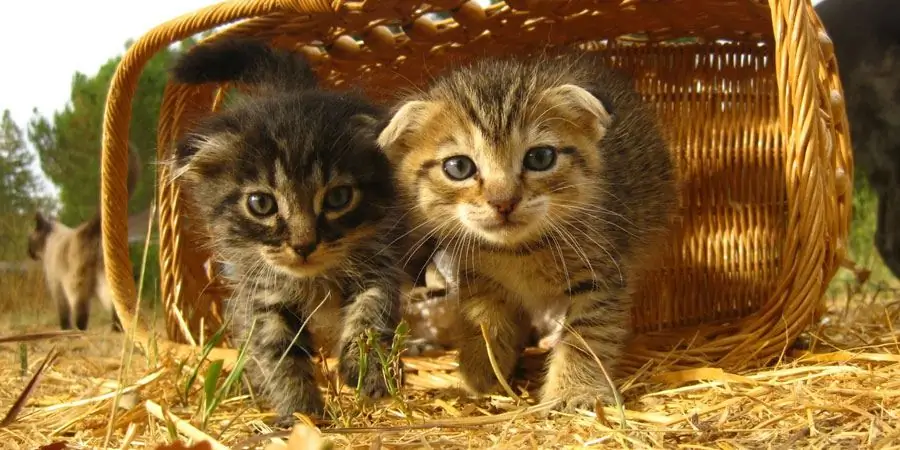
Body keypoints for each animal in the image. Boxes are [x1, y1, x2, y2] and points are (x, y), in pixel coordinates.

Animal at [171, 38, 400, 426]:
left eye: (338, 198)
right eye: (261, 204)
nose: (304, 244)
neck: (314, 280)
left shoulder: (380, 264)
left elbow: (371, 314)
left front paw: (367, 370)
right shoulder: (264, 295)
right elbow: (278, 355)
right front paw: (301, 415)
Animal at [376, 52, 680, 412]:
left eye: (540, 157)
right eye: (459, 167)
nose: (503, 202)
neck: (518, 251)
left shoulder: (602, 273)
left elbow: (587, 334)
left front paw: (575, 390)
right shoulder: (480, 279)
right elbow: (485, 323)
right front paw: (481, 371)